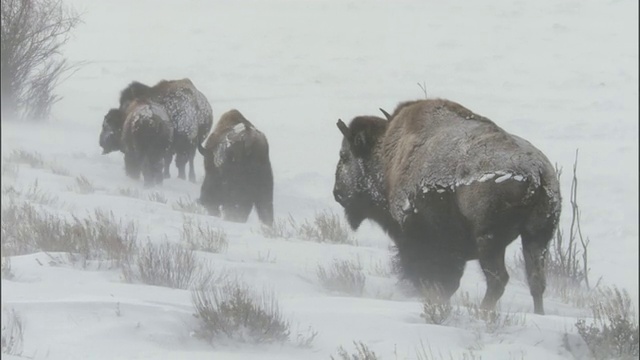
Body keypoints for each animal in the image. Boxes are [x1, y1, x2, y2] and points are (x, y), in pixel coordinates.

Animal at [336, 98, 560, 316]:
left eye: (344, 156)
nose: (337, 193)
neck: (387, 157)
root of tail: (536, 171)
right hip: (537, 236)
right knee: (536, 281)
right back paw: (538, 314)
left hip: (490, 241)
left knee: (498, 279)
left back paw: (482, 312)